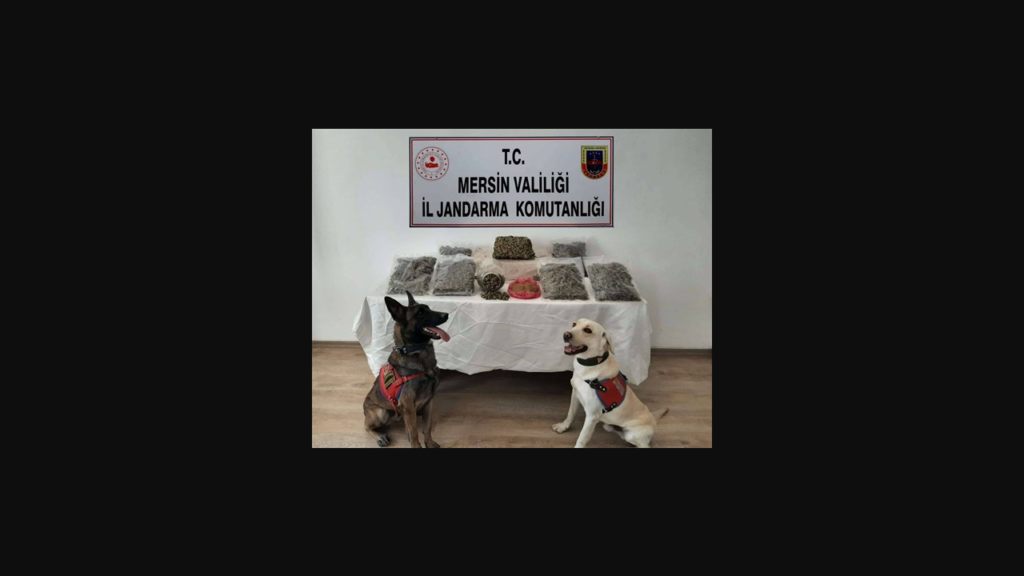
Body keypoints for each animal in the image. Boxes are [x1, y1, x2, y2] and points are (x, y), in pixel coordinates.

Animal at [363, 291, 450, 448]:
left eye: (428, 308)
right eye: (420, 313)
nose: (446, 314)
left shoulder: (429, 402)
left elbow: (427, 427)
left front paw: (430, 443)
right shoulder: (409, 407)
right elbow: (414, 432)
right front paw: (416, 445)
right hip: (381, 412)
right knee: (366, 426)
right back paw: (380, 436)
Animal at [553, 318, 668, 448]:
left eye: (587, 330)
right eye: (574, 324)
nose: (566, 334)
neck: (591, 365)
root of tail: (653, 419)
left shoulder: (592, 416)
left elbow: (581, 439)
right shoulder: (575, 394)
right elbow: (570, 414)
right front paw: (563, 427)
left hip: (632, 435)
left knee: (644, 444)